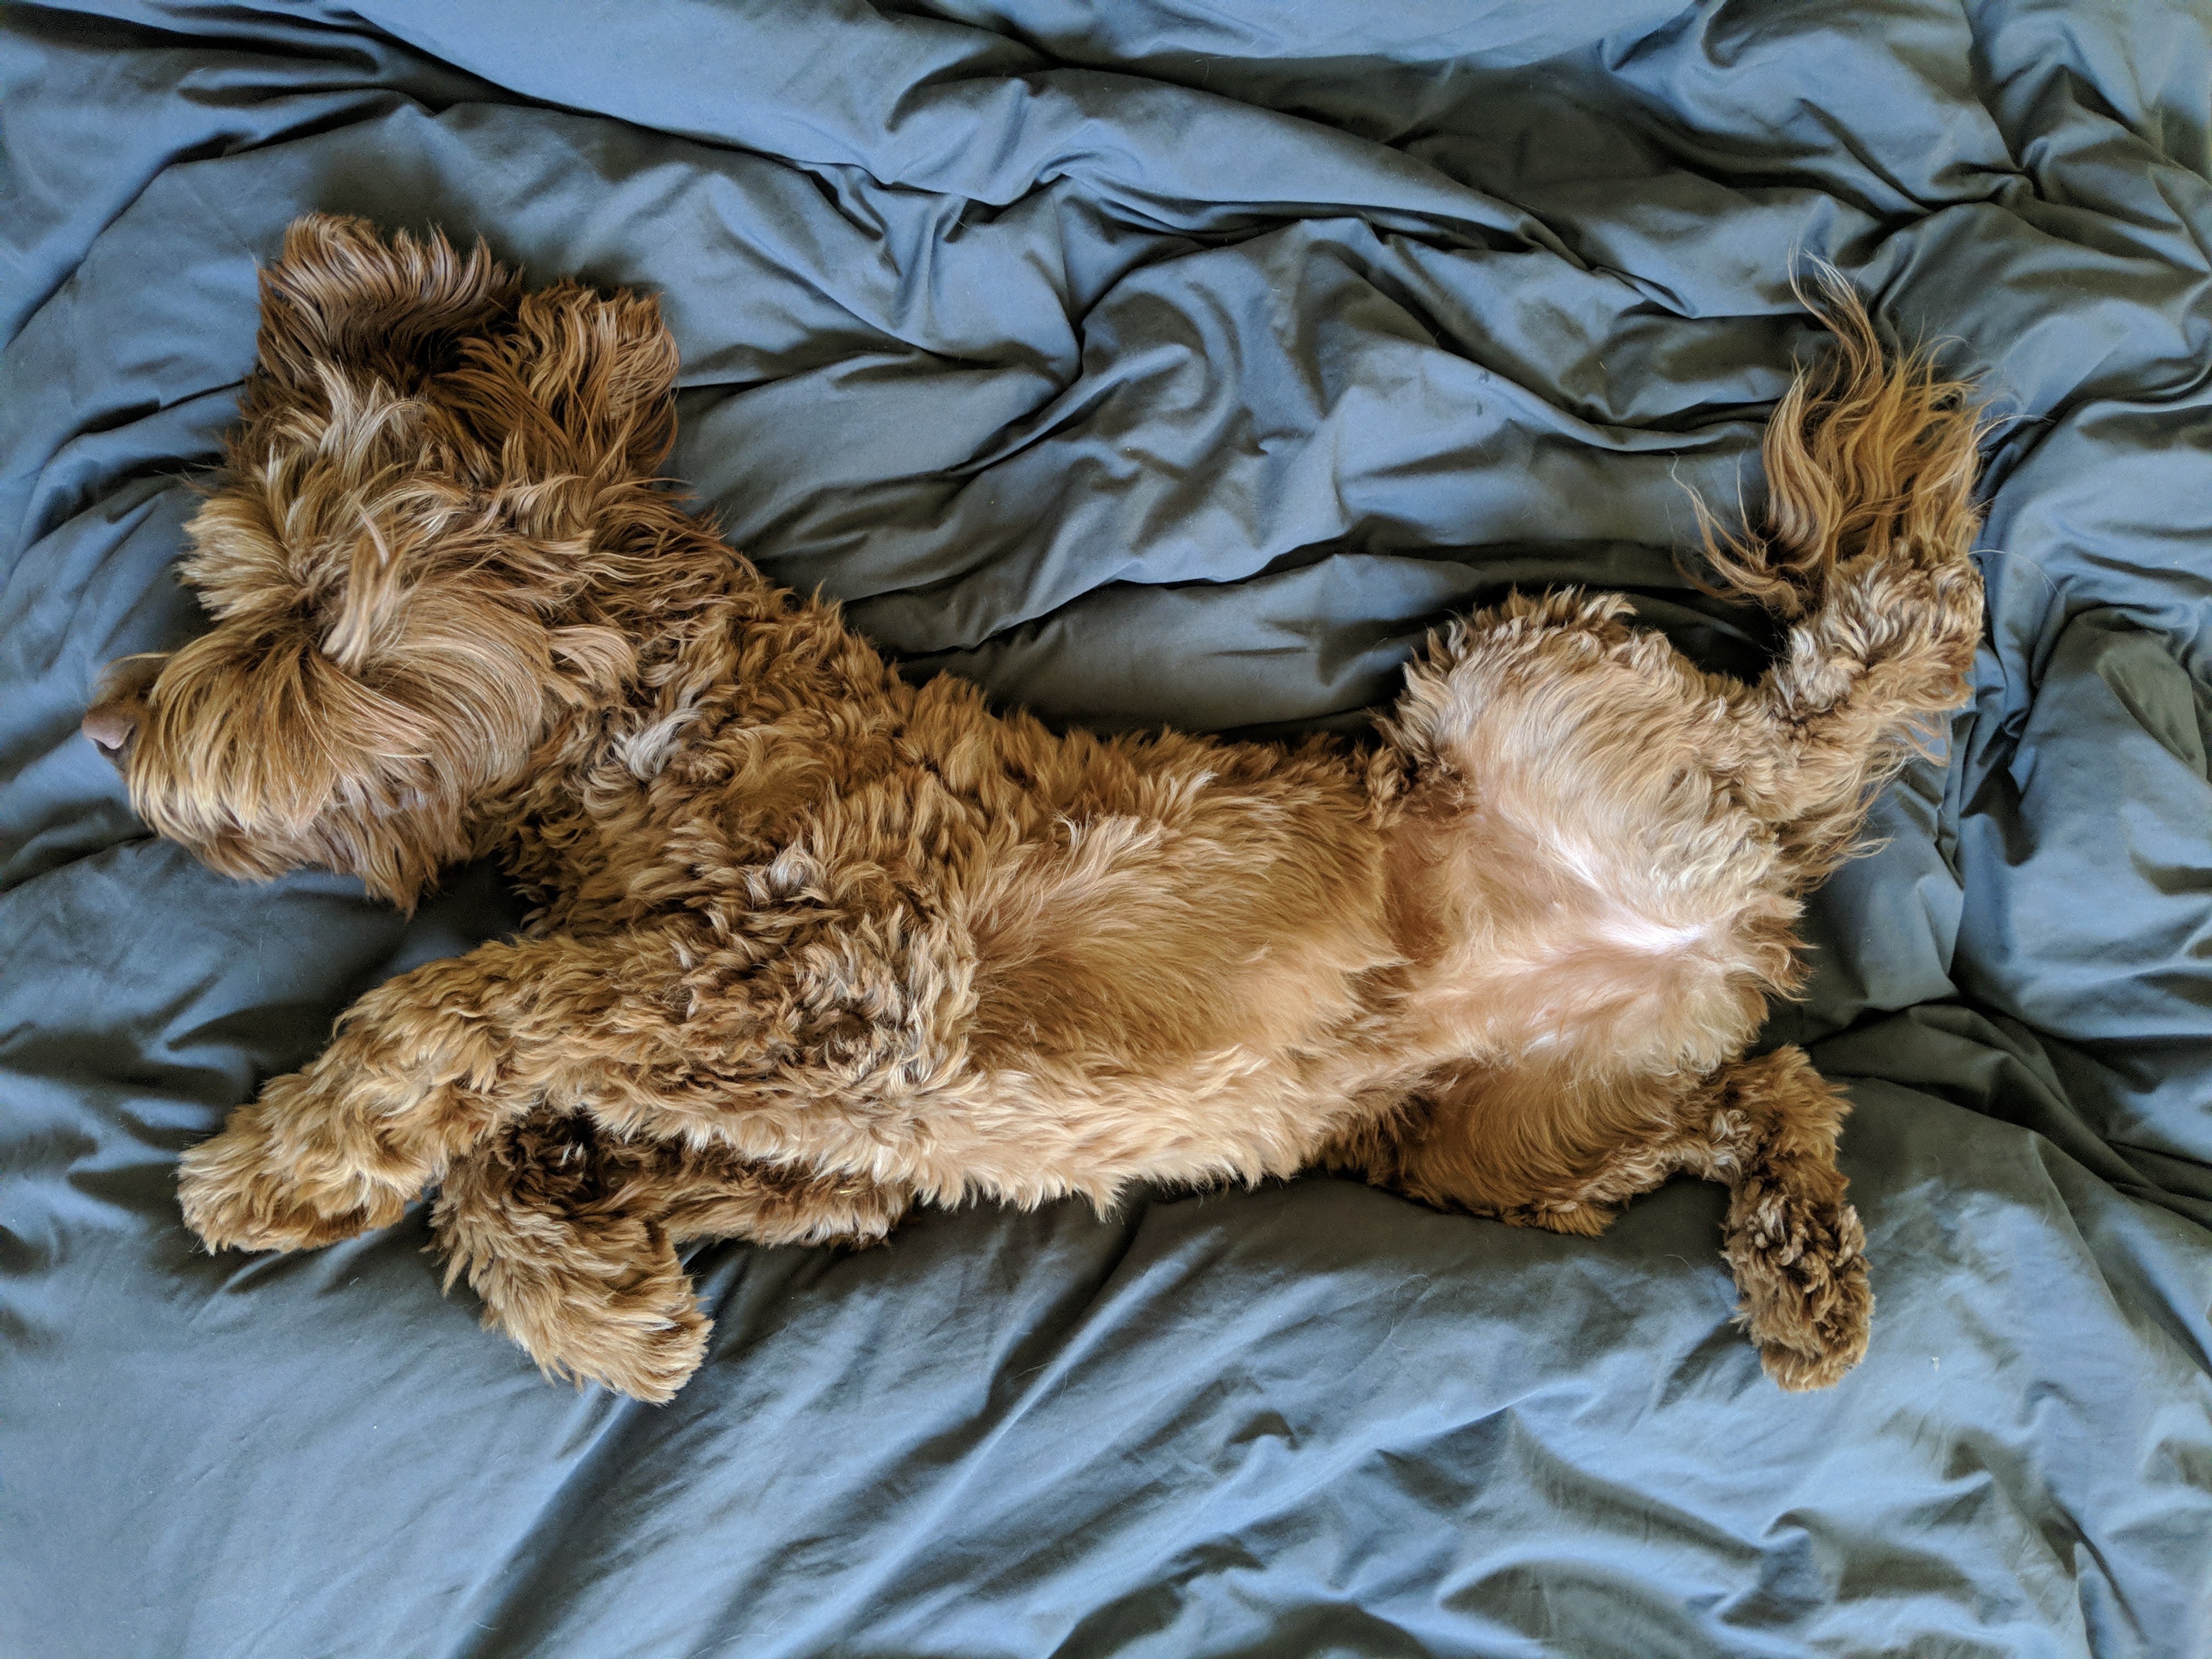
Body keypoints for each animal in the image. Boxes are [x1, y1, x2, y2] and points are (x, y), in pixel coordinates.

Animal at [82, 211, 1990, 1407]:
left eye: (302, 613)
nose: (106, 733)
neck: (659, 741)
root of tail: (1731, 899)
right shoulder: (820, 1129)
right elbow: (532, 1147)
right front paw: (598, 1287)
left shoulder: (832, 995)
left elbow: (457, 1004)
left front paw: (281, 1163)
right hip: (1504, 1149)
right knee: (1777, 1091)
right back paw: (1806, 1275)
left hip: (1512, 685)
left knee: (1872, 658)